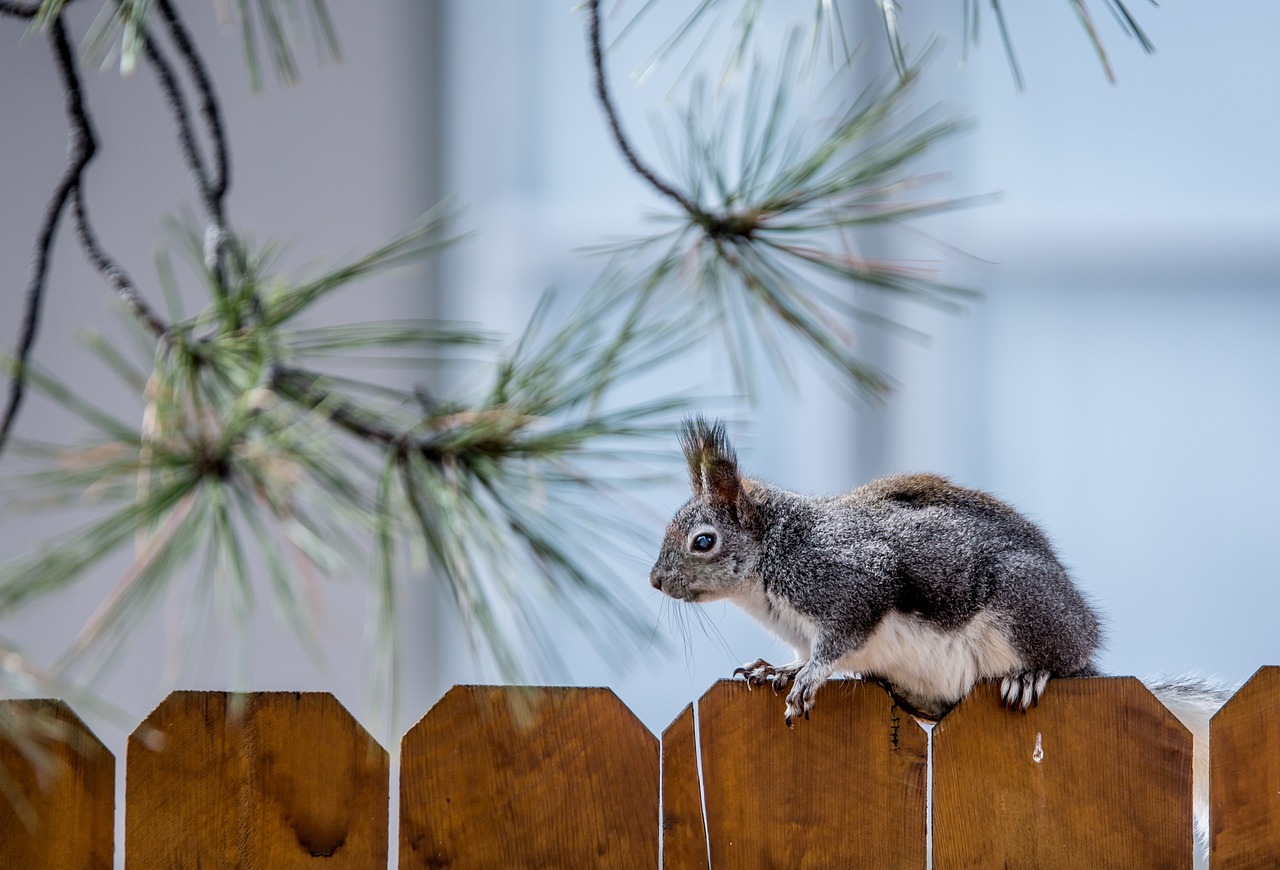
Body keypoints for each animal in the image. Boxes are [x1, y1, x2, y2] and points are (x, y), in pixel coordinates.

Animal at [650, 417, 1228, 844]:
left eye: (704, 541)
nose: (656, 581)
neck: (774, 556)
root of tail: (1084, 650)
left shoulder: (850, 584)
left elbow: (838, 642)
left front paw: (809, 679)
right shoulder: (800, 626)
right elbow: (802, 652)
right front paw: (778, 669)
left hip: (1024, 608)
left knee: (1055, 662)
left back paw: (1031, 675)